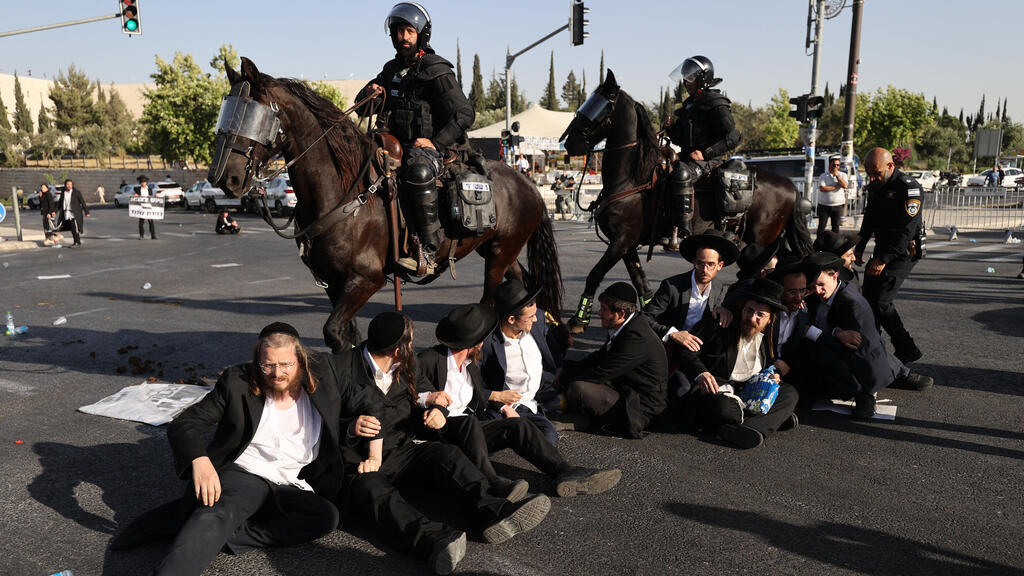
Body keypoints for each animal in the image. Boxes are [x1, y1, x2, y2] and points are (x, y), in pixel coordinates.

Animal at [206, 59, 561, 354]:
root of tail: (527, 183)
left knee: (490, 301)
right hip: (498, 250)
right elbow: (343, 338)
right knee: (523, 289)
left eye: (253, 115)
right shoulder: (333, 282)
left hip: (500, 254)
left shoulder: (367, 279)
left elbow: (334, 331)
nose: (224, 177)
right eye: (227, 111)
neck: (343, 193)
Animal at [557, 70, 811, 332]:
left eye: (599, 106)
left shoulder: (621, 240)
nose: (569, 142)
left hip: (763, 240)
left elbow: (595, 274)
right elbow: (640, 282)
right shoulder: (627, 244)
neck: (633, 178)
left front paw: (578, 319)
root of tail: (791, 186)